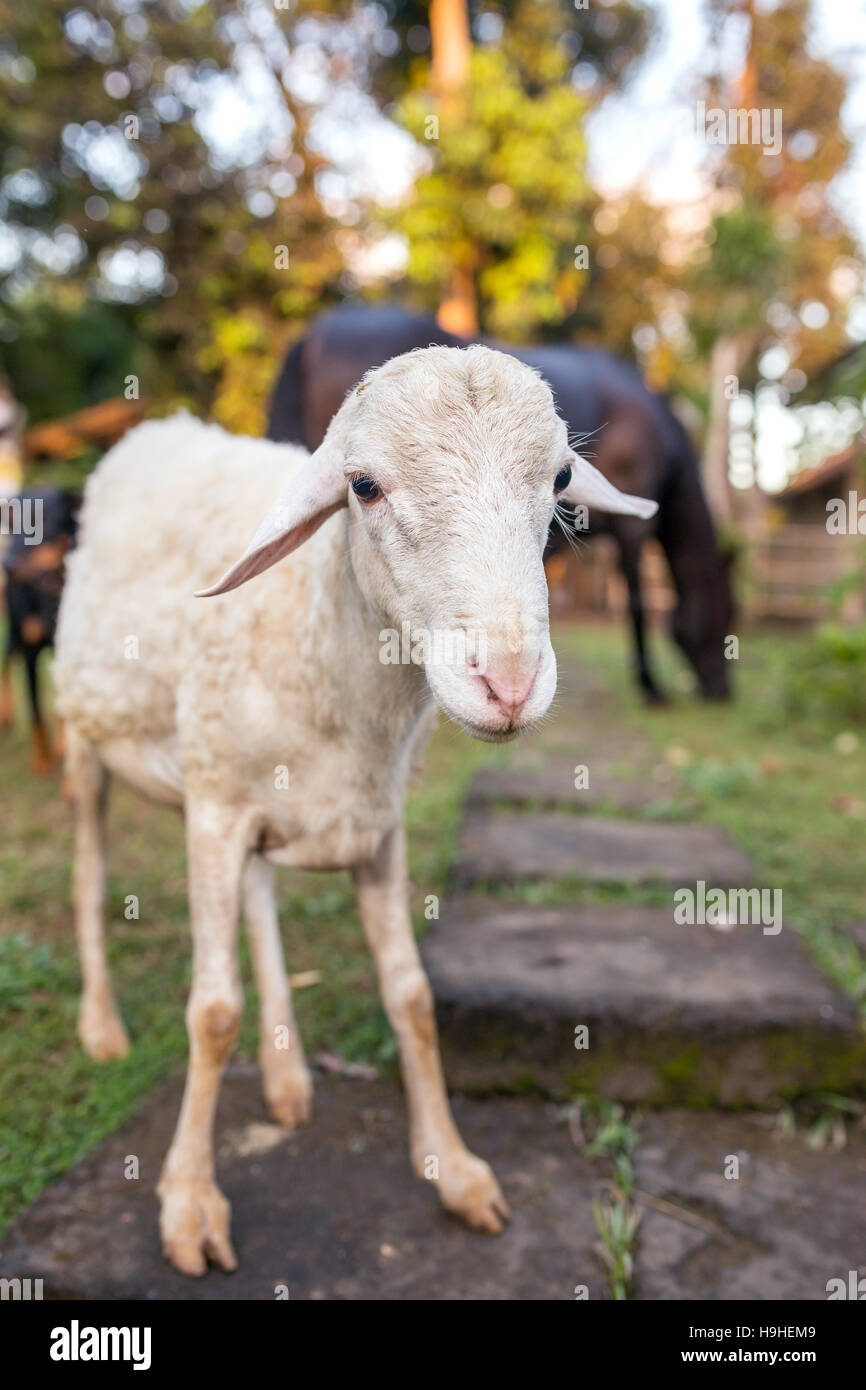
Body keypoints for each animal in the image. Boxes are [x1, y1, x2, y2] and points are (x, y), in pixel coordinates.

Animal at [54, 341, 656, 1273]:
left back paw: (287, 1075)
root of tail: (157, 428)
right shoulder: (214, 812)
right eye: (363, 486)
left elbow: (410, 994)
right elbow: (212, 1013)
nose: (509, 683)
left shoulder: (376, 822)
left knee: (259, 897)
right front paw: (189, 1204)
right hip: (91, 742)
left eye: (560, 478)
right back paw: (102, 1026)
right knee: (88, 871)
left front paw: (455, 1170)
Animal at [269, 304, 733, 695]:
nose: (722, 692)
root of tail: (311, 337)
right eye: (727, 617)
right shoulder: (634, 526)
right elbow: (636, 602)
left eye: (564, 476)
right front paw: (651, 687)